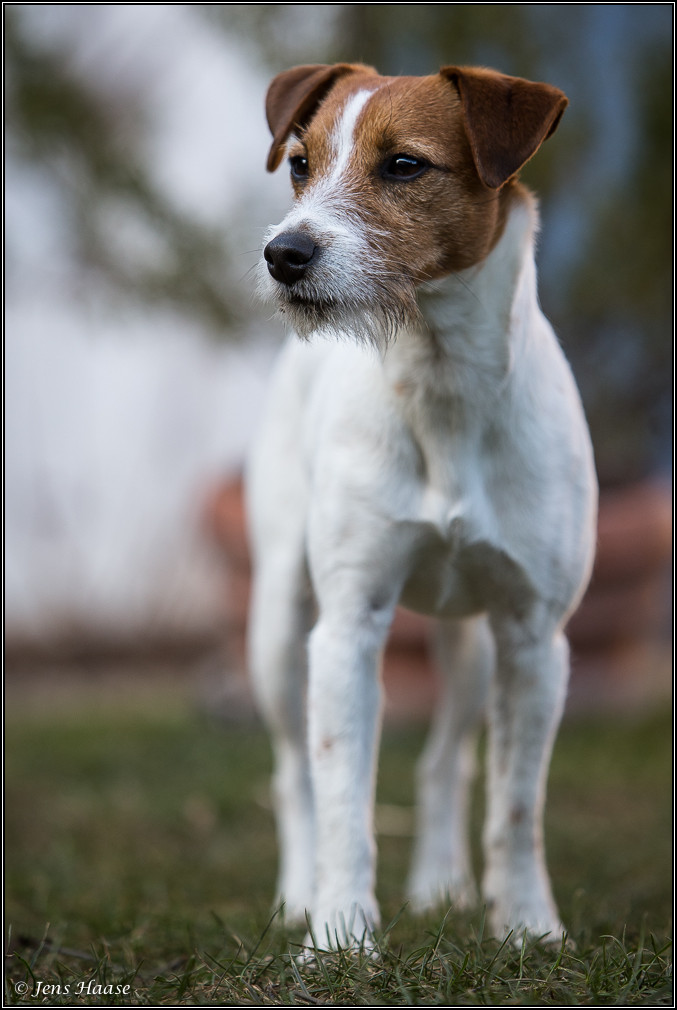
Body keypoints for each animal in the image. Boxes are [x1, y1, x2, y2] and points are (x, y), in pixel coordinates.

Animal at [246, 65, 598, 953]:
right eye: (299, 163)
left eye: (404, 165)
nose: (282, 254)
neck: (441, 391)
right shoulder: (346, 628)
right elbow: (344, 798)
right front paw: (338, 936)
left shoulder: (533, 638)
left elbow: (517, 806)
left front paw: (528, 928)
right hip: (278, 625)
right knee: (292, 775)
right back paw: (295, 896)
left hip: (472, 647)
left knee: (445, 763)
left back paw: (442, 887)